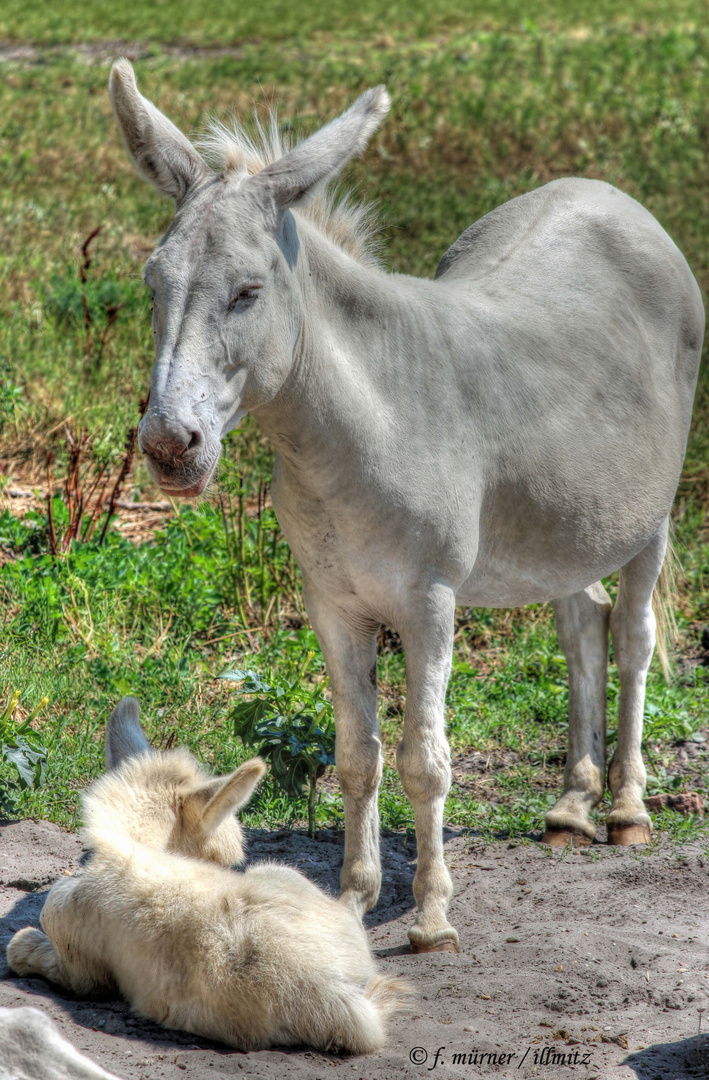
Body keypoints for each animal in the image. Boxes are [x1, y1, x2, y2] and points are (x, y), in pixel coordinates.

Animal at [5, 695, 406, 1049]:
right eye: (220, 859)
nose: (231, 870)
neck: (128, 852)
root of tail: (339, 1002)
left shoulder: (74, 958)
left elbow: (19, 947)